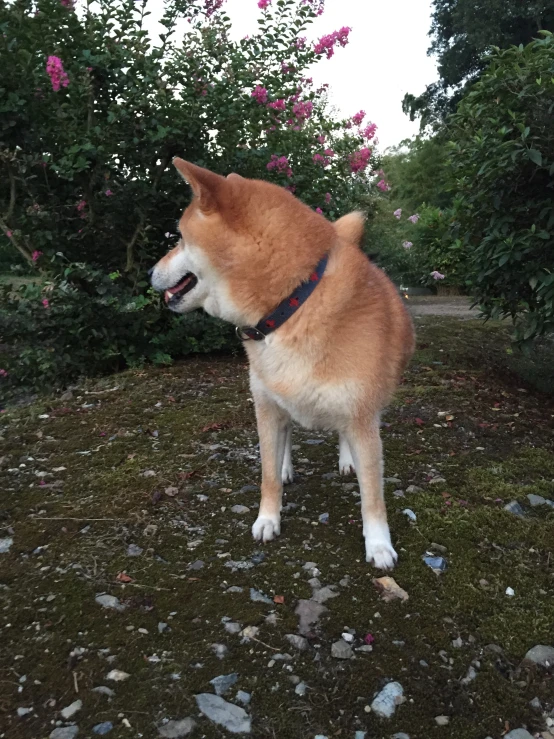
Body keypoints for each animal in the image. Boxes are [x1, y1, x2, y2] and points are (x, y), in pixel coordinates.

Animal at [149, 159, 412, 568]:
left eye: (178, 237)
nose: (149, 272)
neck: (292, 305)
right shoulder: (266, 406)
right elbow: (267, 474)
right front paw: (268, 518)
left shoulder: (361, 417)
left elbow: (372, 494)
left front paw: (379, 544)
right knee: (284, 437)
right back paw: (286, 463)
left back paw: (345, 458)